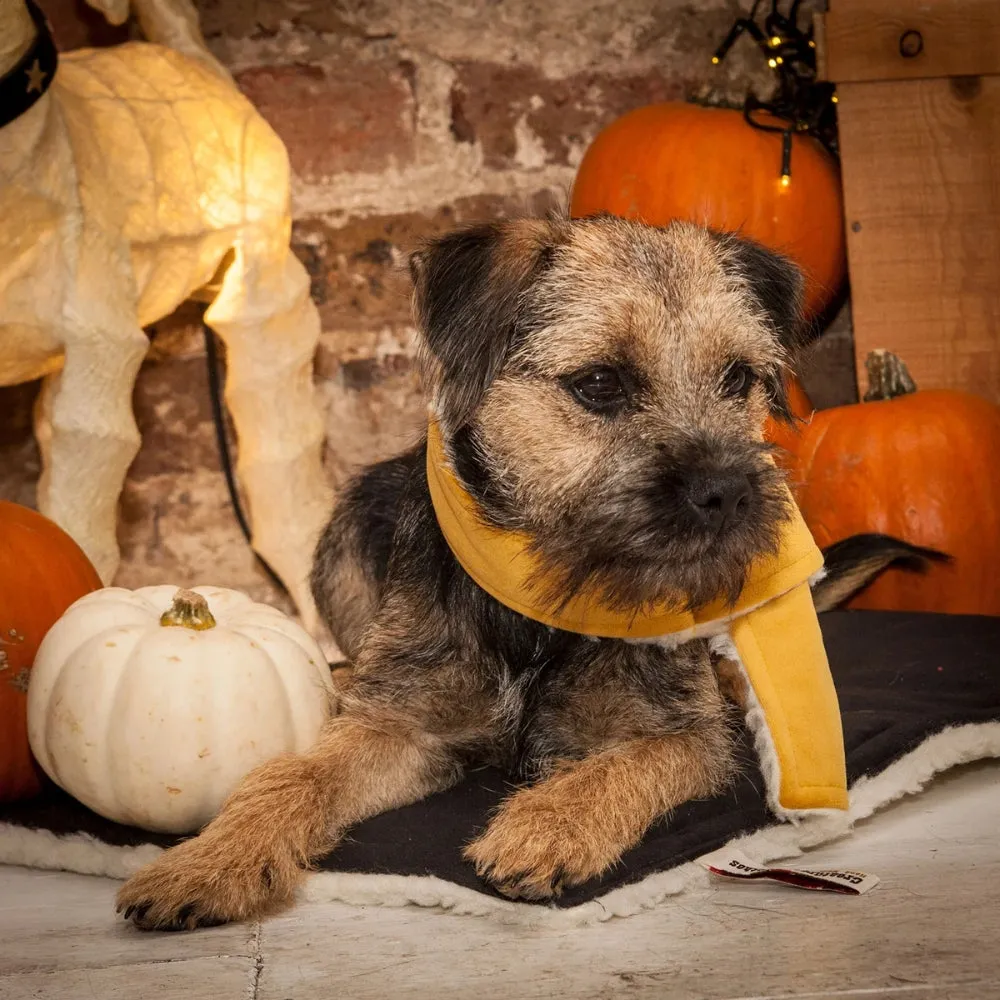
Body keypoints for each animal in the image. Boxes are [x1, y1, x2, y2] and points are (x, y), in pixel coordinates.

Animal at [115, 217, 928, 928]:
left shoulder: (686, 737)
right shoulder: (402, 725)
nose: (727, 491)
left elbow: (622, 764)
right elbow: (293, 774)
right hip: (345, 537)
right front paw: (208, 861)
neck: (540, 601)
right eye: (599, 383)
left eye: (738, 378)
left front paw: (547, 826)